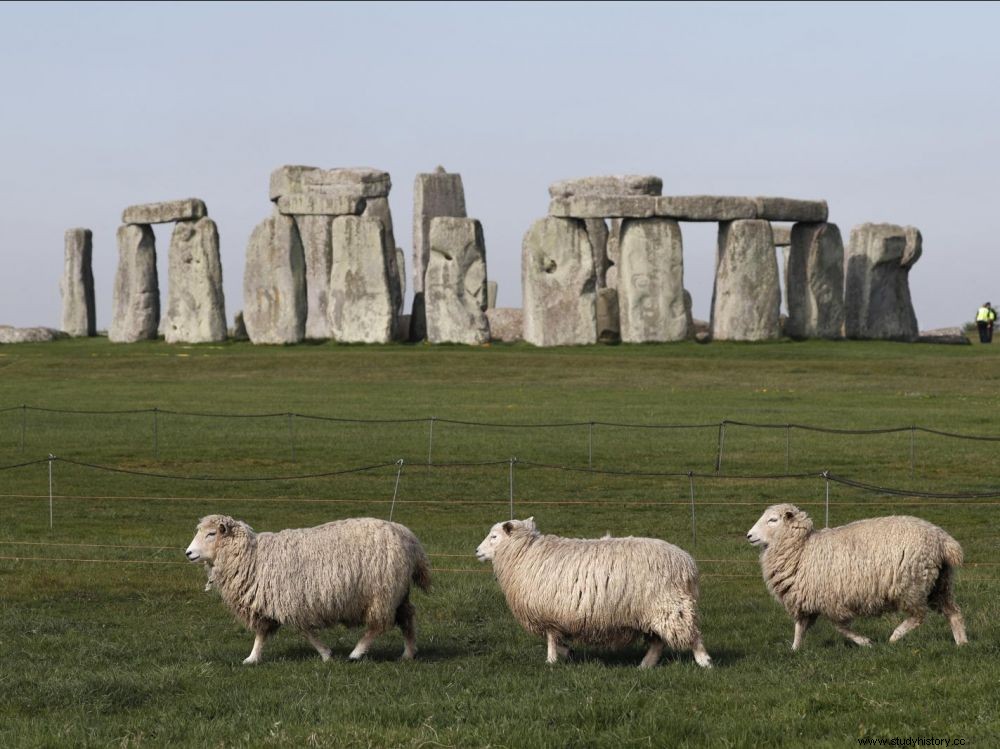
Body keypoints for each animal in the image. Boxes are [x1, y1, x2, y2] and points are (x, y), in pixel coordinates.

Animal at [184, 512, 430, 664]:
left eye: (211, 534)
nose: (188, 553)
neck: (252, 557)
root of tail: (410, 539)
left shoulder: (291, 602)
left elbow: (305, 632)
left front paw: (326, 654)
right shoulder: (266, 603)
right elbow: (261, 634)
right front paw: (252, 658)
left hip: (382, 593)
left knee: (378, 626)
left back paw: (357, 652)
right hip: (398, 592)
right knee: (407, 616)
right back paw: (408, 654)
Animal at [474, 516, 712, 668]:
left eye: (494, 536)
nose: (476, 551)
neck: (524, 553)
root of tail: (687, 563)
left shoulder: (548, 612)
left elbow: (550, 638)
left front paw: (551, 661)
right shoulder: (555, 615)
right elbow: (558, 638)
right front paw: (566, 652)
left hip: (669, 604)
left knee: (690, 634)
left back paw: (704, 662)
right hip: (651, 610)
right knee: (658, 642)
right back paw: (645, 665)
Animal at [748, 502, 964, 648]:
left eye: (773, 520)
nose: (749, 535)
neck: (802, 549)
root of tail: (943, 539)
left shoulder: (831, 601)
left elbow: (840, 627)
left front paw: (865, 642)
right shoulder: (806, 600)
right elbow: (800, 628)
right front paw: (794, 650)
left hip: (911, 584)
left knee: (918, 615)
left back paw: (895, 637)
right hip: (939, 583)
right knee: (953, 612)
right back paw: (962, 643)